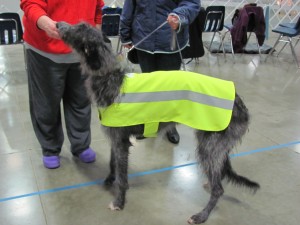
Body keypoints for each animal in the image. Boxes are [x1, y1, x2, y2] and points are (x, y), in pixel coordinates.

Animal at [57, 22, 258, 224]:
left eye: (77, 29)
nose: (58, 25)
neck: (110, 78)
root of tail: (240, 105)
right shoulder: (115, 138)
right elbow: (113, 163)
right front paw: (109, 180)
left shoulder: (121, 142)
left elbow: (122, 177)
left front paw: (119, 201)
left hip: (210, 146)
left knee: (219, 189)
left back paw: (201, 215)